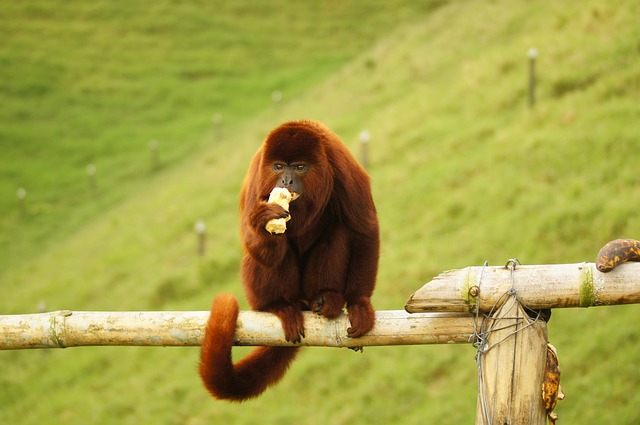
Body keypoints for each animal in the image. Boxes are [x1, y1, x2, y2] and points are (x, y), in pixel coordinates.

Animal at [200, 119, 380, 400]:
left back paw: (326, 298)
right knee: (272, 255)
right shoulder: (258, 176)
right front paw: (264, 221)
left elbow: (364, 229)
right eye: (278, 166)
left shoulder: (342, 165)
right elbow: (254, 243)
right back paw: (279, 306)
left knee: (337, 230)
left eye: (299, 167)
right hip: (260, 294)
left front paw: (359, 303)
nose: (286, 179)